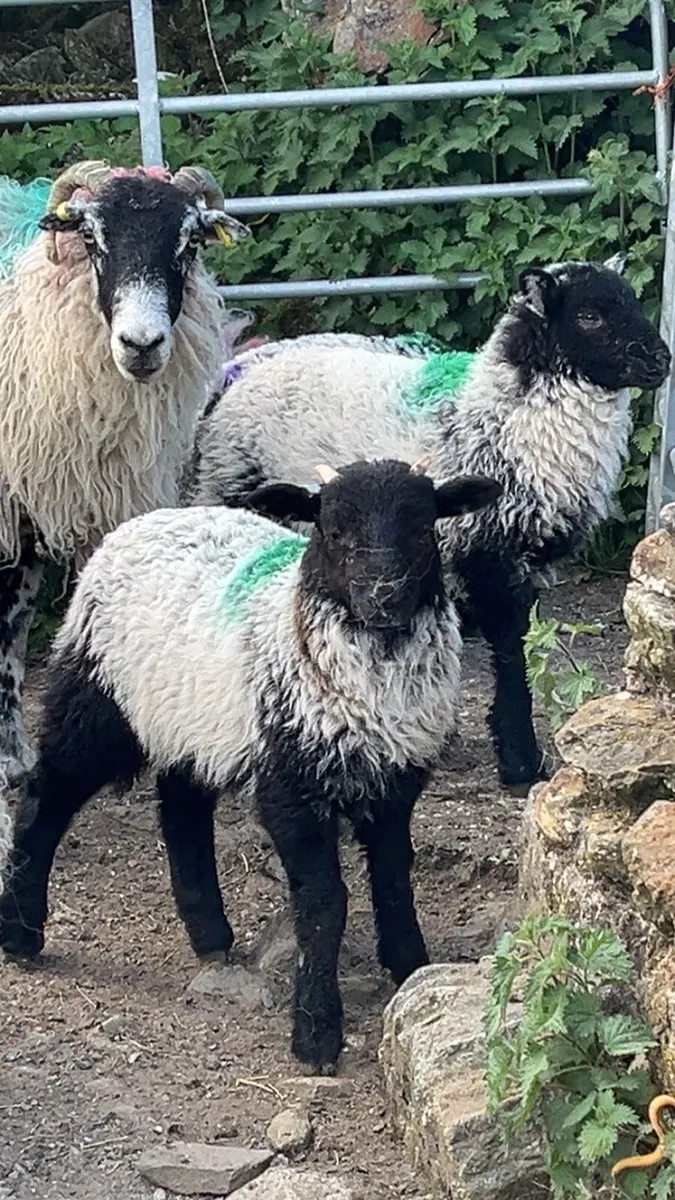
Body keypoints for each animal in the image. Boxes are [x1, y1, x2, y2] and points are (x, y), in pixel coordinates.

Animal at [0, 457, 501, 1072]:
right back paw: (21, 933)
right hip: (97, 698)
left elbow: (393, 876)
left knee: (182, 813)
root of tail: (143, 521)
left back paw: (209, 934)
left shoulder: (396, 780)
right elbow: (324, 901)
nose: (383, 597)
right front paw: (315, 1034)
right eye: (333, 531)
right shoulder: (291, 787)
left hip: (189, 722)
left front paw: (412, 967)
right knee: (46, 799)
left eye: (421, 527)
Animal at [184, 257, 671, 792]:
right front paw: (521, 763)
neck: (502, 420)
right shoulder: (487, 554)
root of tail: (231, 376)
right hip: (231, 490)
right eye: (588, 316)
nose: (661, 361)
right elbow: (511, 654)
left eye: (630, 299)